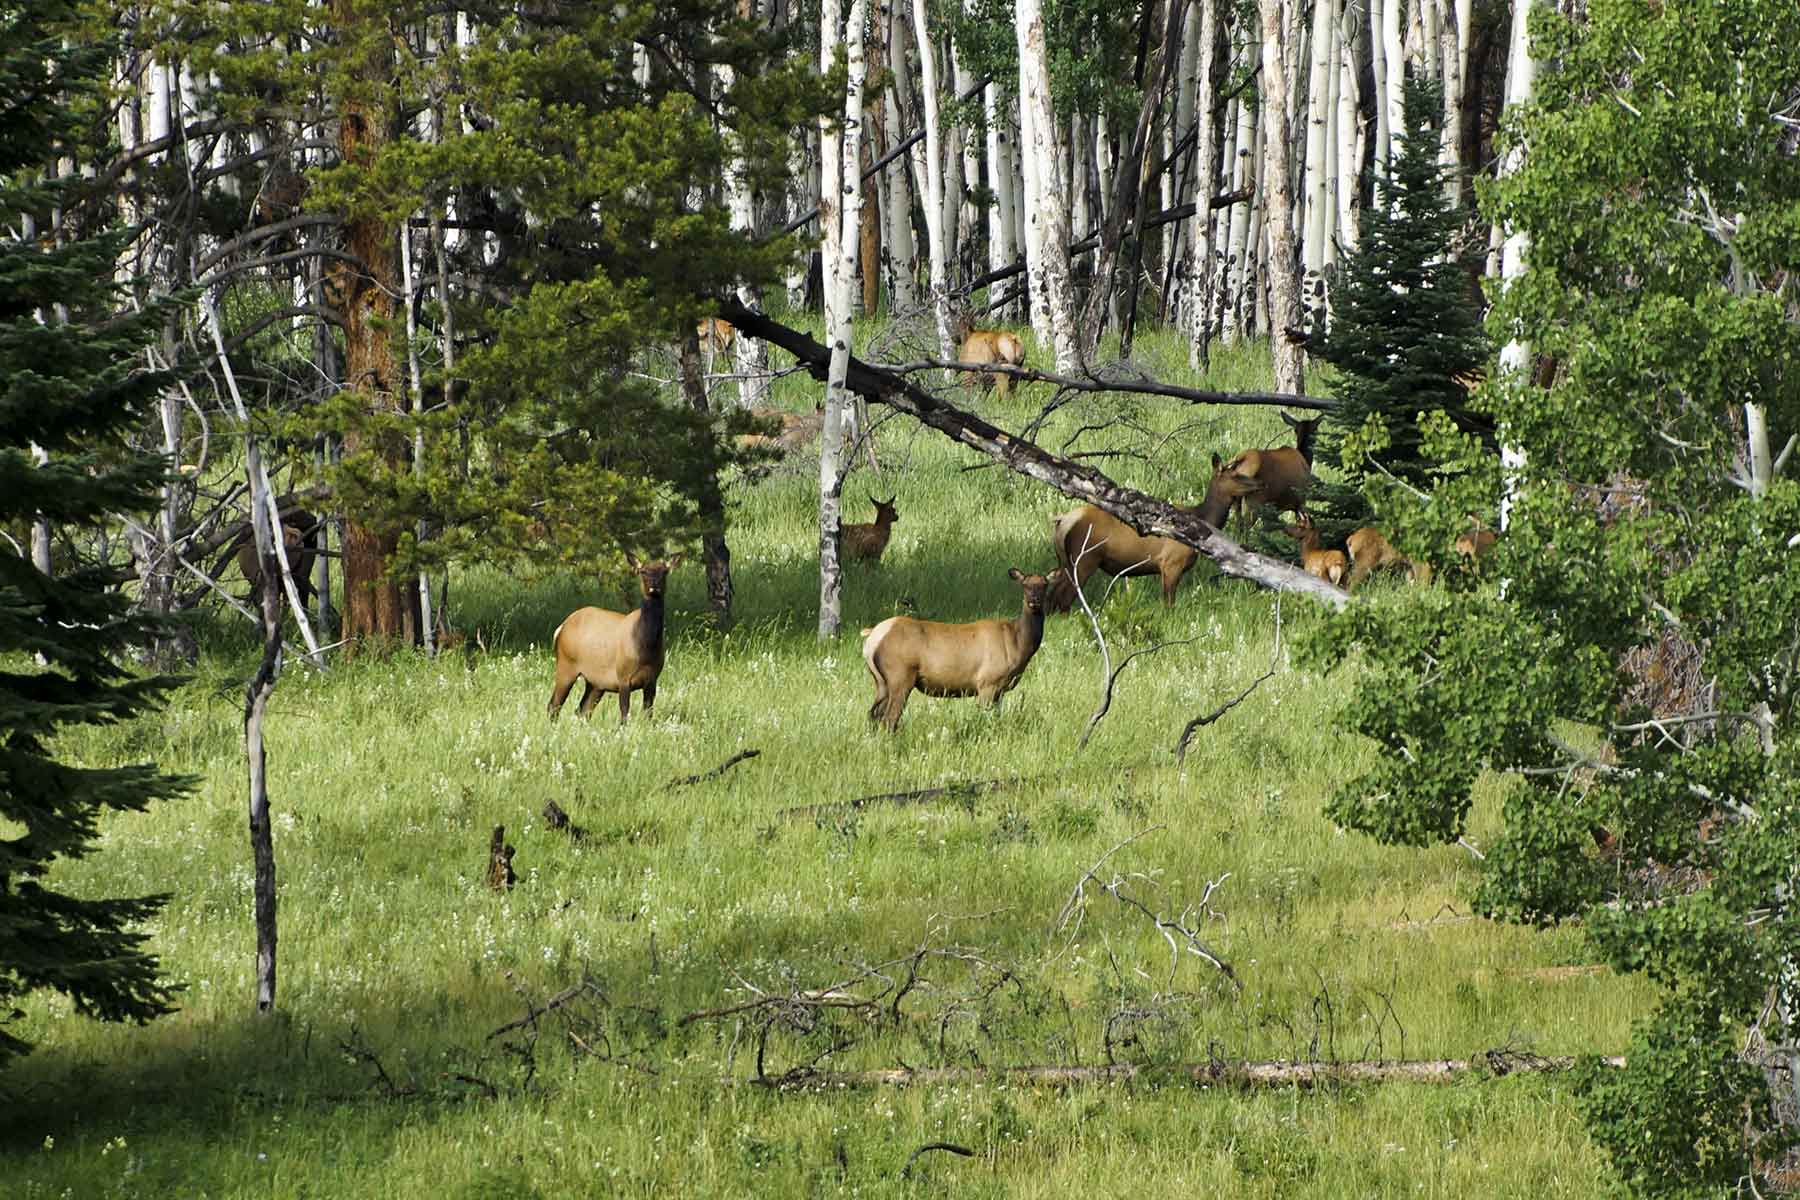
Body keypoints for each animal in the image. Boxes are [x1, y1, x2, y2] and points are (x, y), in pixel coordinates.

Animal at [546, 553, 683, 724]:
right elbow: (624, 715)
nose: (654, 585)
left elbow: (648, 715)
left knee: (583, 709)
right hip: (566, 665)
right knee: (554, 705)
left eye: (664, 571)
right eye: (643, 571)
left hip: (596, 682)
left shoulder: (652, 679)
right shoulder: (623, 677)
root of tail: (560, 628)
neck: (646, 646)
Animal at [861, 568, 1052, 732]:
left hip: (881, 681)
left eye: (1044, 584)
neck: (1017, 643)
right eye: (1025, 584)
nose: (1034, 600)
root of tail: (872, 636)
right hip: (900, 675)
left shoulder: (1000, 690)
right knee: (889, 718)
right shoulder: (987, 682)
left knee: (873, 715)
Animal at [1047, 456, 1264, 611]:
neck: (1202, 519)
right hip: (1085, 558)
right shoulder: (1171, 563)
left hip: (1065, 560)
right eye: (1236, 475)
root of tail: (1062, 520)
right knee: (1063, 597)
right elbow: (1169, 605)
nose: (1259, 484)